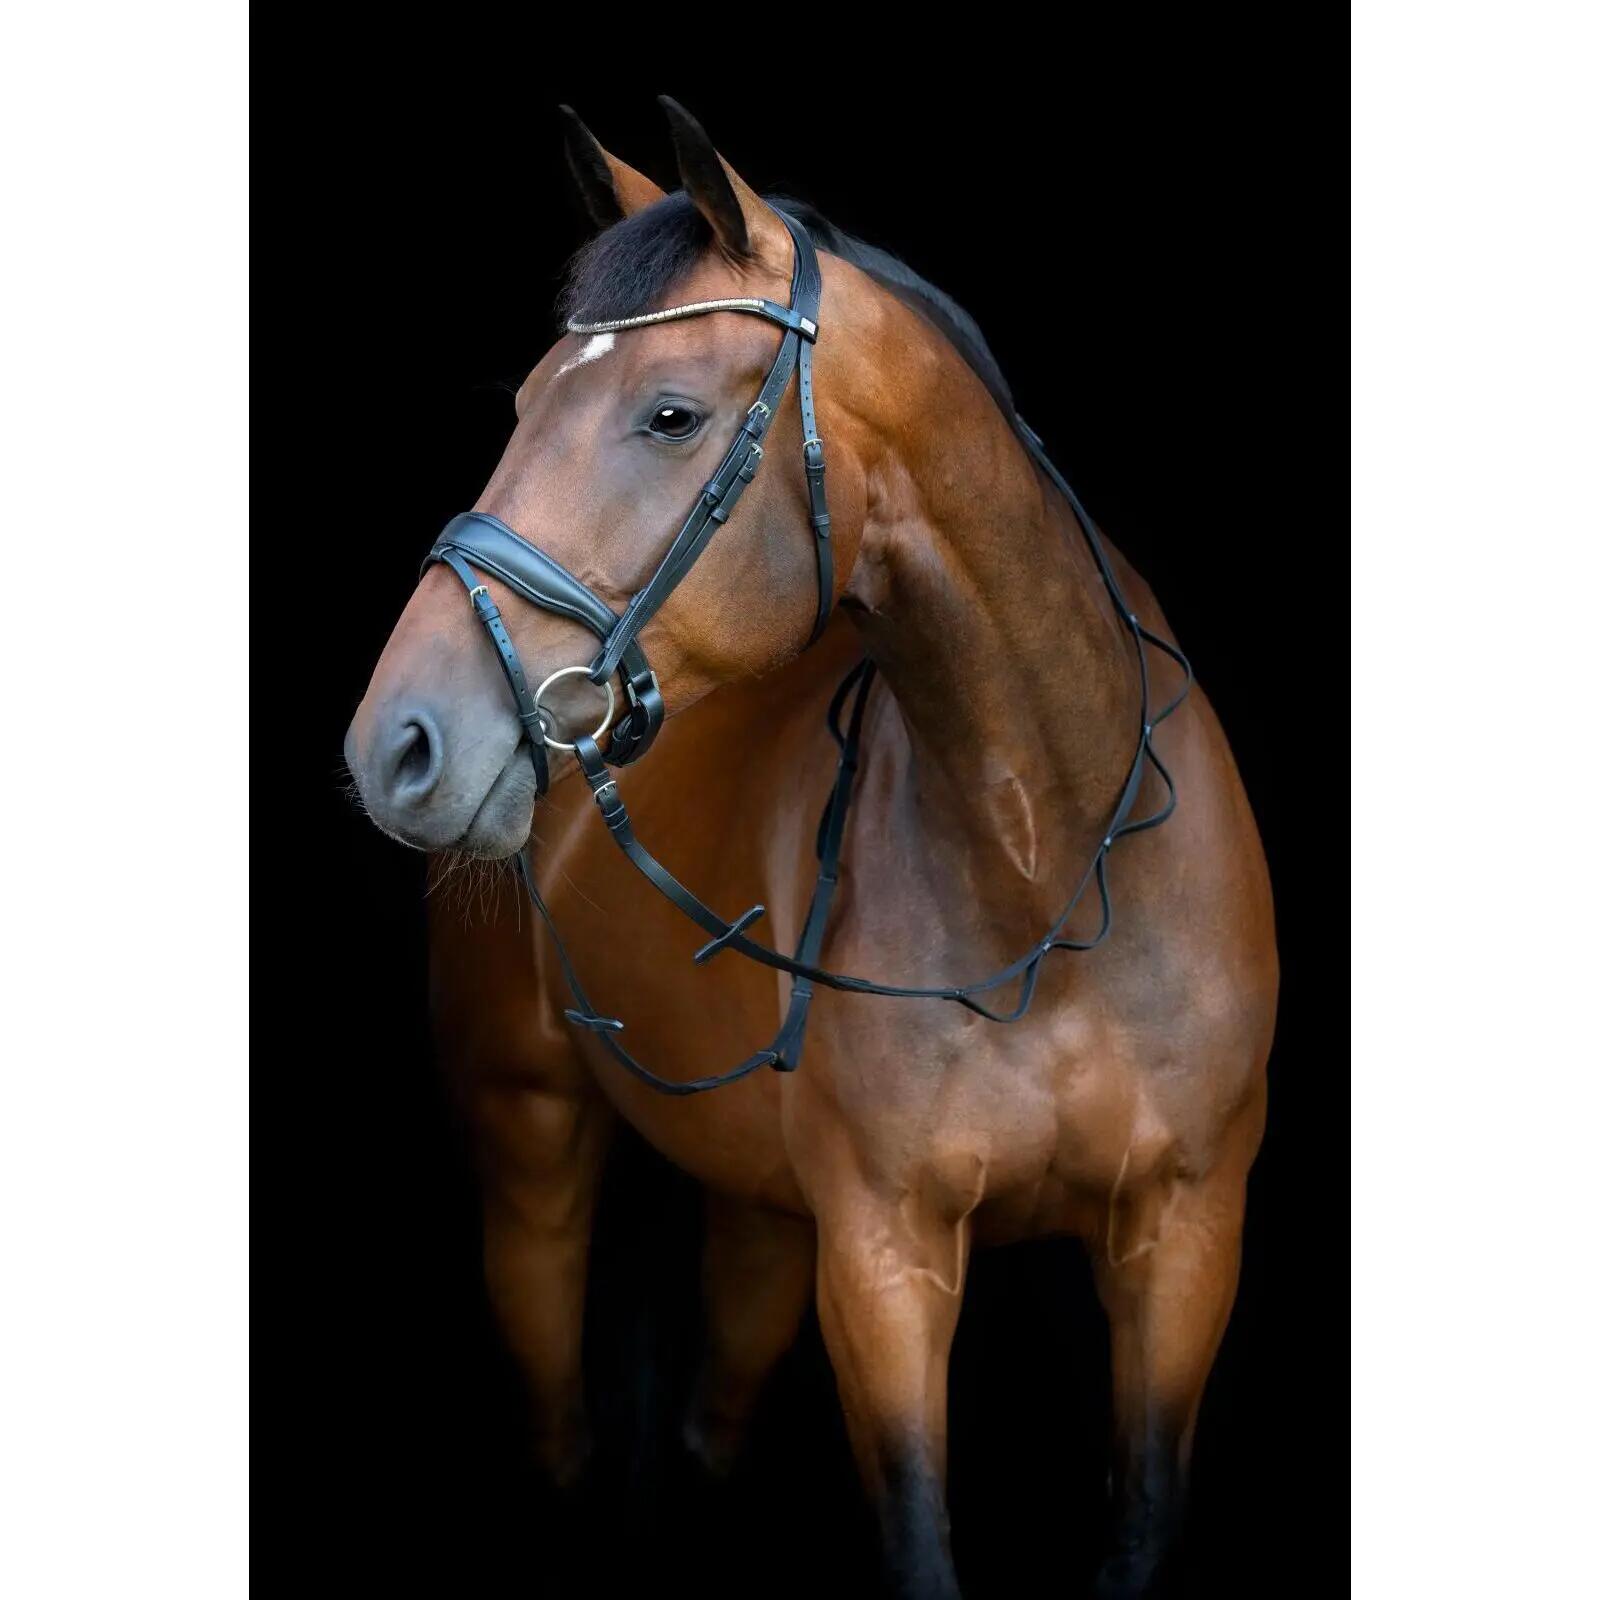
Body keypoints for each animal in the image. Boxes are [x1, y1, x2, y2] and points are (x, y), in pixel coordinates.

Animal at [343, 97, 1277, 1600]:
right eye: (525, 405)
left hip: (764, 1212)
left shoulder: (1185, 1242)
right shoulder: (885, 1264)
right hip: (529, 1142)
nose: (399, 744)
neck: (1055, 866)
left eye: (669, 415)